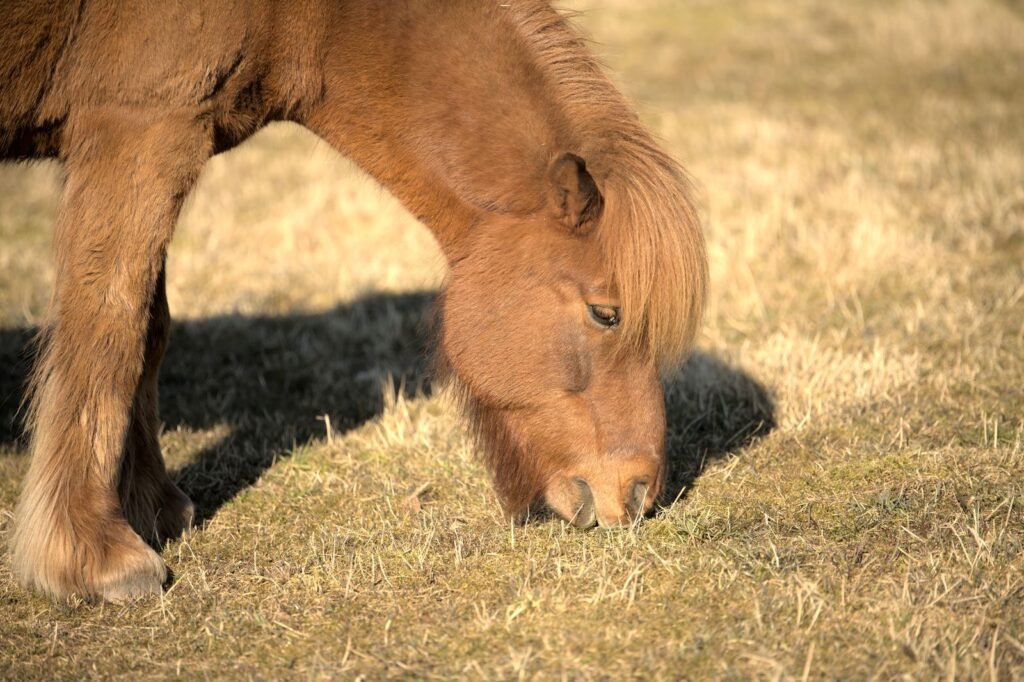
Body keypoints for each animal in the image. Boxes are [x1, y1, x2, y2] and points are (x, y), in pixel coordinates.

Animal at [0, 0, 707, 602]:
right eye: (606, 313)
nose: (641, 495)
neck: (300, 16)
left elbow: (149, 329)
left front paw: (153, 506)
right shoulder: (139, 129)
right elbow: (109, 328)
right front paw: (93, 556)